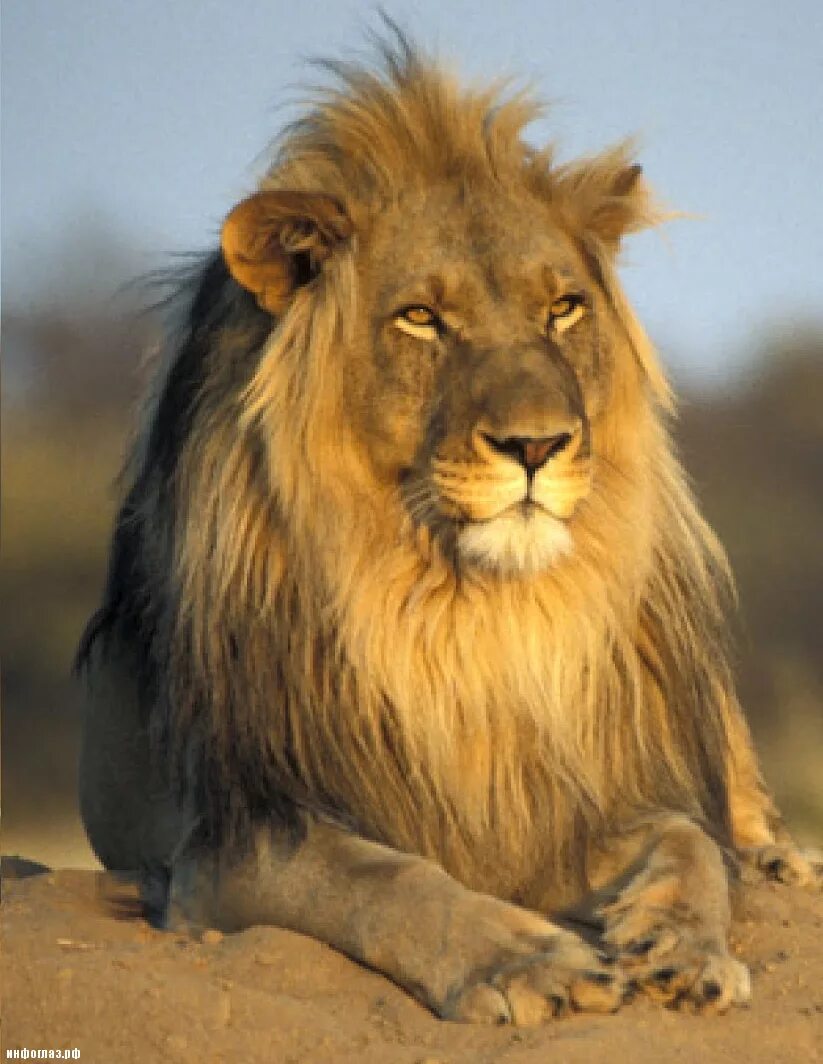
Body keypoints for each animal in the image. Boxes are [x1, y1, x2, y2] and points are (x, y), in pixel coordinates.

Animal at [77, 34, 821, 1025]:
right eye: (421, 318)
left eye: (563, 308)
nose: (537, 444)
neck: (462, 618)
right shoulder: (231, 832)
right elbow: (378, 878)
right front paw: (525, 961)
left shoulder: (568, 796)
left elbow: (687, 841)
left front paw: (684, 945)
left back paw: (777, 859)